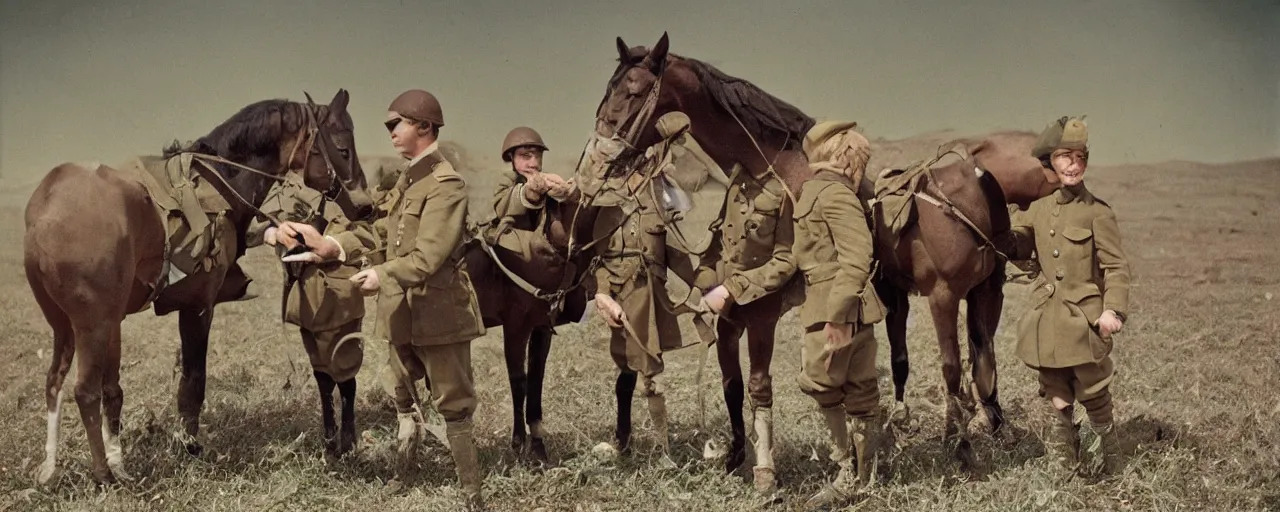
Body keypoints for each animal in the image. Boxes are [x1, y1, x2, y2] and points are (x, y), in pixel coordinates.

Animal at [22, 90, 373, 486]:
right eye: (342, 148)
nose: (365, 207)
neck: (217, 181)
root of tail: (42, 217)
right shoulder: (198, 306)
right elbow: (193, 382)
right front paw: (190, 446)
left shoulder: (119, 322)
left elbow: (120, 389)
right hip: (91, 325)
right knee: (84, 391)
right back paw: (102, 475)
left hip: (67, 325)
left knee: (56, 383)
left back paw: (56, 468)